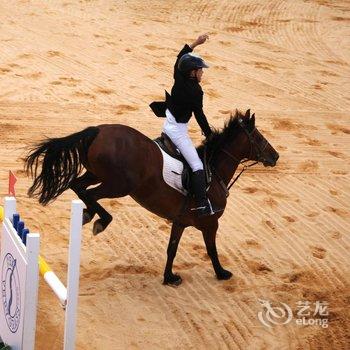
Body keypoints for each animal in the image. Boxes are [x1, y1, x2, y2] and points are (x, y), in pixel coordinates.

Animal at [23, 109, 278, 284]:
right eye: (258, 137)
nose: (275, 156)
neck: (213, 172)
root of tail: (99, 129)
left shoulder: (180, 222)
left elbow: (172, 248)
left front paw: (169, 277)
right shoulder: (210, 223)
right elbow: (211, 249)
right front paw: (221, 273)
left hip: (96, 173)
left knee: (77, 185)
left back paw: (89, 214)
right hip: (119, 185)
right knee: (89, 193)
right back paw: (100, 219)